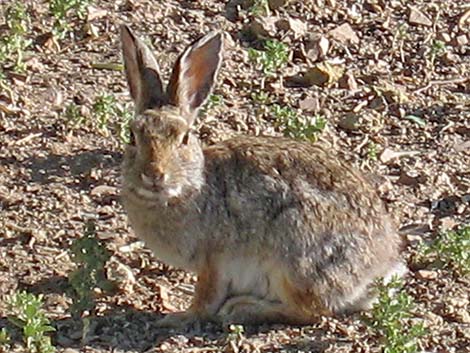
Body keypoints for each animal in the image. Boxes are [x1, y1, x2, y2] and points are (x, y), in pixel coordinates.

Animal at [119, 25, 406, 328]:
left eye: (184, 139)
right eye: (132, 136)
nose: (153, 173)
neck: (192, 186)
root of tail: (374, 272)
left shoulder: (215, 258)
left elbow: (205, 299)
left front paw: (178, 316)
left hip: (295, 253)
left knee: (312, 310)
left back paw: (244, 308)